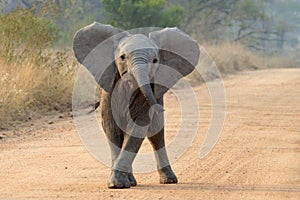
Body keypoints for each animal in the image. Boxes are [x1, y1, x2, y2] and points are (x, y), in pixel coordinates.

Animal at [72, 22, 199, 188]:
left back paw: (168, 180)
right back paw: (132, 181)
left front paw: (117, 183)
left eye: (155, 61)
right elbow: (112, 128)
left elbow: (138, 128)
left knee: (156, 135)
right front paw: (117, 184)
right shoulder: (109, 88)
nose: (160, 108)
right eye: (122, 57)